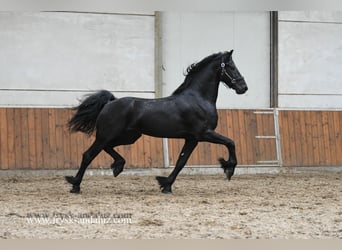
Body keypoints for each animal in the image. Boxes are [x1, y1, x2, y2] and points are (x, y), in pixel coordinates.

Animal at [66, 50, 248, 193]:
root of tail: (110, 103)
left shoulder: (192, 139)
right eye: (231, 66)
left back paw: (117, 166)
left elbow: (181, 162)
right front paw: (228, 168)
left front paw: (165, 185)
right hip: (107, 135)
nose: (244, 88)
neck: (198, 98)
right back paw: (75, 185)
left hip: (129, 136)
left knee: (107, 148)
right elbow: (230, 142)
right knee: (88, 155)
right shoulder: (204, 134)